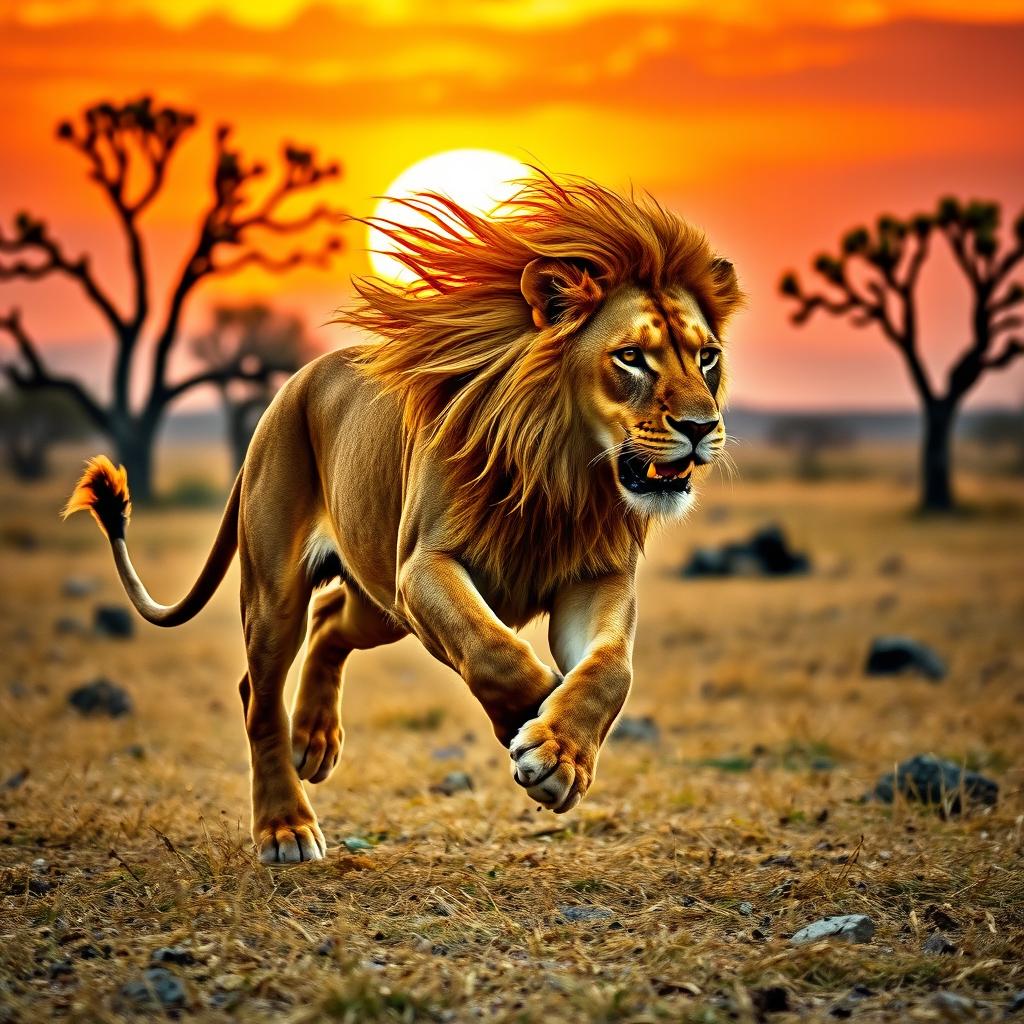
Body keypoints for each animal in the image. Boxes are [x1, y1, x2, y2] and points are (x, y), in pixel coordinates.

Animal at [65, 173, 743, 863]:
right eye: (631, 357)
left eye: (707, 357)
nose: (701, 427)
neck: (563, 473)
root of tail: (288, 389)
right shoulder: (423, 567)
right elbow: (493, 648)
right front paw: (533, 713)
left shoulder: (595, 579)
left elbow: (610, 670)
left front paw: (560, 753)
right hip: (289, 591)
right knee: (258, 692)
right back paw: (285, 827)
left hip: (379, 603)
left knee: (329, 621)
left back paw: (314, 739)